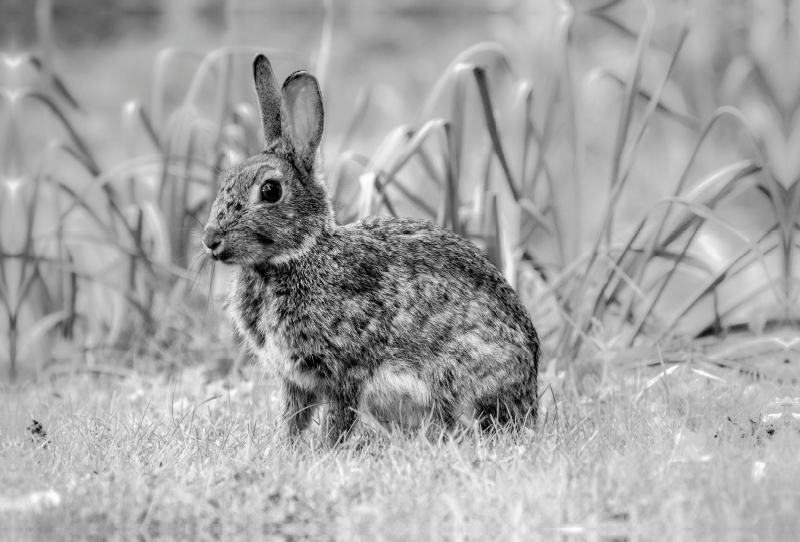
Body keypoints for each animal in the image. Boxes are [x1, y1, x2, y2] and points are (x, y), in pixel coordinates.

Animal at [203, 55, 540, 446]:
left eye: (270, 191)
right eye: (226, 181)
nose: (210, 239)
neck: (300, 255)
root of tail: (529, 392)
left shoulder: (344, 370)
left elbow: (337, 416)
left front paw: (325, 449)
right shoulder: (294, 380)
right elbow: (294, 417)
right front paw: (283, 447)